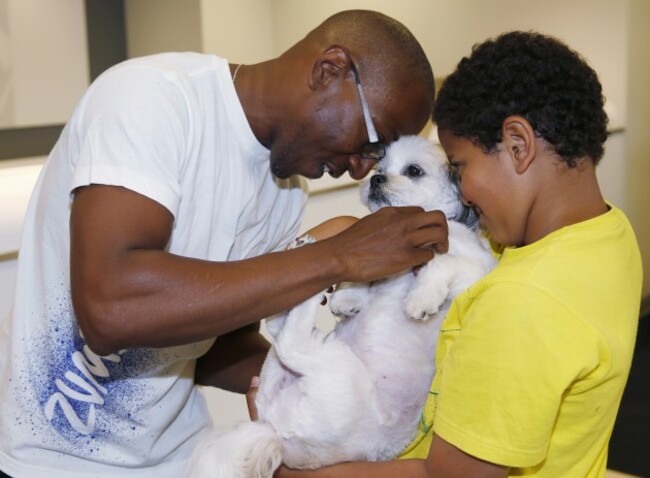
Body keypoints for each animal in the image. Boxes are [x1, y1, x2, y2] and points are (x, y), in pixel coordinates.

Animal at [185, 134, 494, 478]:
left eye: (414, 171)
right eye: (380, 168)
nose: (376, 180)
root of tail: (273, 432)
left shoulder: (477, 269)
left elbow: (440, 264)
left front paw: (420, 299)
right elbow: (368, 276)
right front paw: (348, 299)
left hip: (335, 371)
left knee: (291, 341)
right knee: (280, 331)